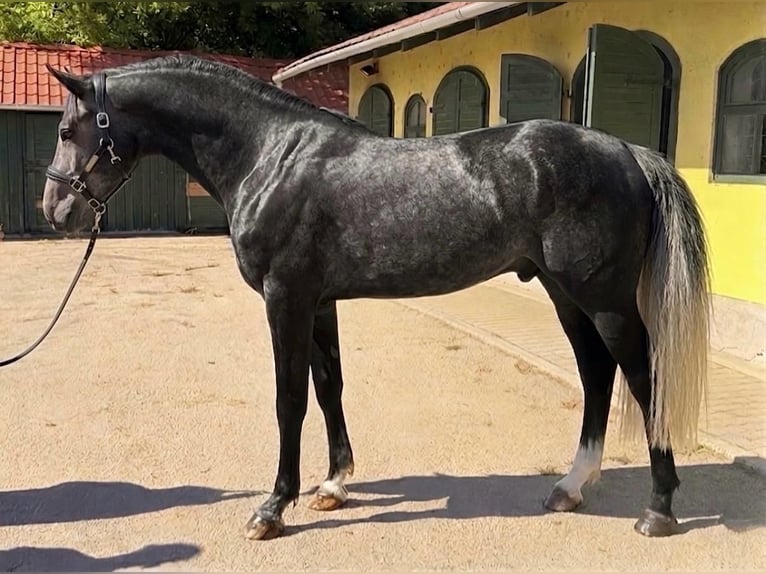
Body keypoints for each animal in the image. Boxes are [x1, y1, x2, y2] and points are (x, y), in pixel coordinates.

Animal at [41, 55, 710, 540]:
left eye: (68, 128)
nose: (56, 212)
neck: (270, 155)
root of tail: (626, 152)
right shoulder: (318, 301)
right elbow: (328, 386)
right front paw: (334, 485)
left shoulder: (285, 298)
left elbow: (289, 401)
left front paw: (272, 508)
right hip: (566, 295)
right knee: (597, 375)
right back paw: (571, 487)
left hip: (606, 301)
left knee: (643, 380)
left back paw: (658, 509)